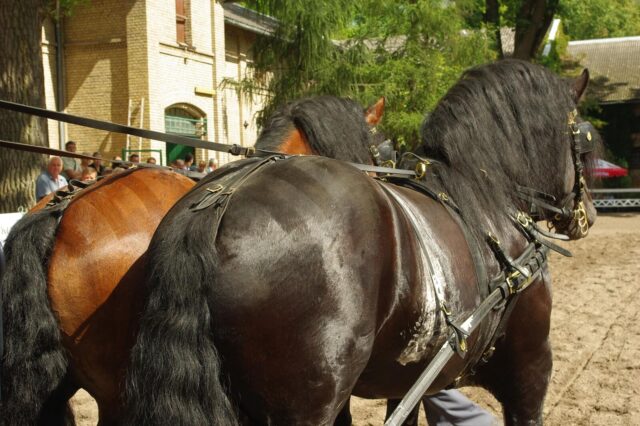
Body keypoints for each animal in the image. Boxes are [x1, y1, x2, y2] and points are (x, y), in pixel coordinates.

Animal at [124, 60, 600, 426]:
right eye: (584, 142)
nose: (589, 214)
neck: (486, 199)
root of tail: (220, 201)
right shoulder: (530, 370)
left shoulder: (409, 381)